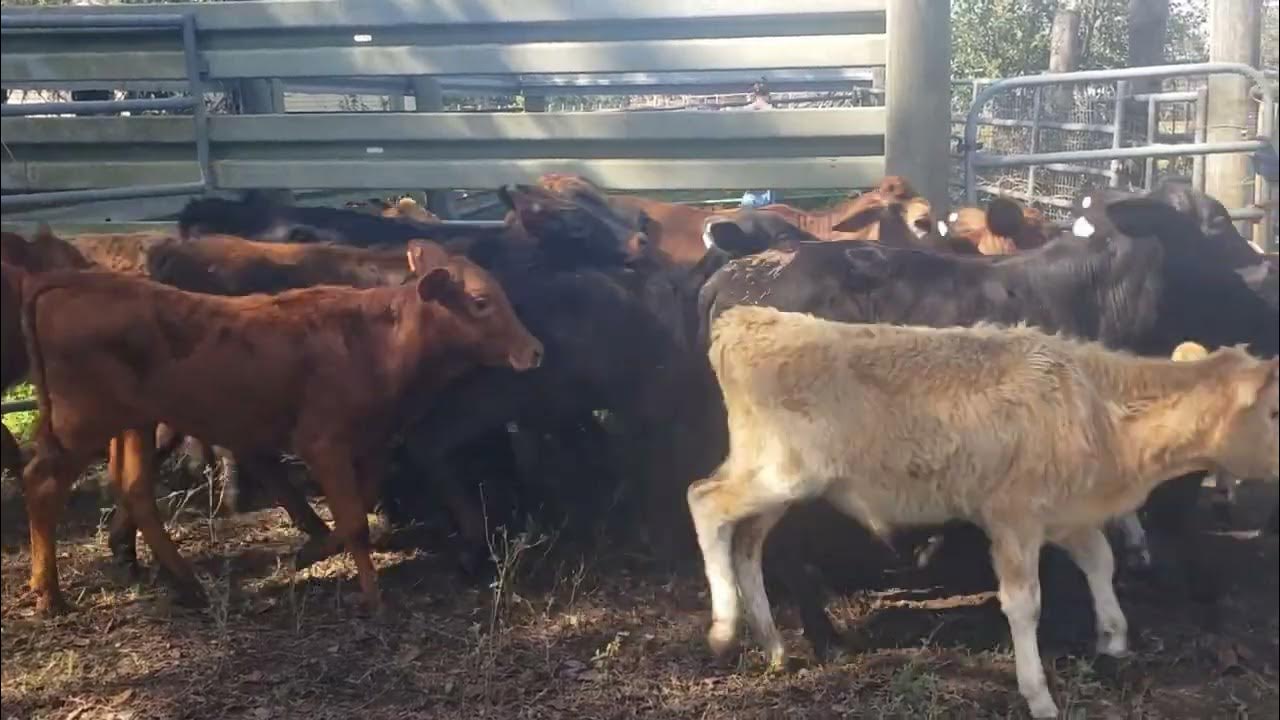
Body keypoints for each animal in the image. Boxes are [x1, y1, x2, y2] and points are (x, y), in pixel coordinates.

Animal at [17, 241, 542, 615]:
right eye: (481, 301)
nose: (533, 350)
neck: (373, 340)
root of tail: (65, 283)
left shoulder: (369, 441)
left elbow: (357, 511)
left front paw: (311, 552)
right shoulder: (322, 442)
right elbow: (354, 522)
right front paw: (372, 598)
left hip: (133, 423)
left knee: (135, 490)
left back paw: (188, 585)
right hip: (78, 426)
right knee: (42, 484)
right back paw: (49, 595)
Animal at [689, 305, 1279, 719]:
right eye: (1274, 410)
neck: (1096, 403)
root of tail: (746, 319)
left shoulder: (1067, 512)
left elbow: (1101, 562)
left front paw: (1113, 639)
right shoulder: (1013, 518)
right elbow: (1024, 604)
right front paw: (1037, 694)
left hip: (781, 485)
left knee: (746, 542)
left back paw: (773, 645)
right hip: (781, 474)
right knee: (705, 501)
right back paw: (722, 630)